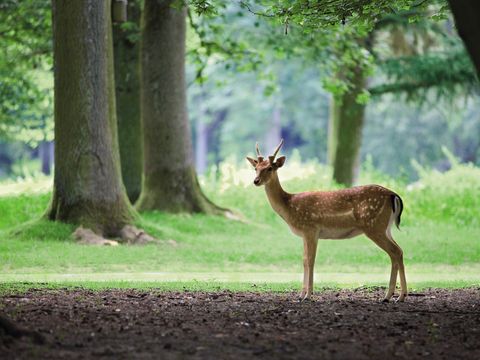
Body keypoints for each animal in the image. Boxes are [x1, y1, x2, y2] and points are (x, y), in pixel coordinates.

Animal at [248, 139, 408, 302]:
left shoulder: (311, 228)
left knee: (395, 251)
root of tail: (393, 195)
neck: (289, 206)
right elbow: (304, 260)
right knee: (398, 251)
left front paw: (308, 295)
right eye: (255, 168)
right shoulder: (305, 234)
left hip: (374, 225)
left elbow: (310, 260)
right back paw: (395, 296)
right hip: (385, 227)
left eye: (269, 168)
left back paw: (395, 296)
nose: (256, 181)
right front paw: (301, 295)